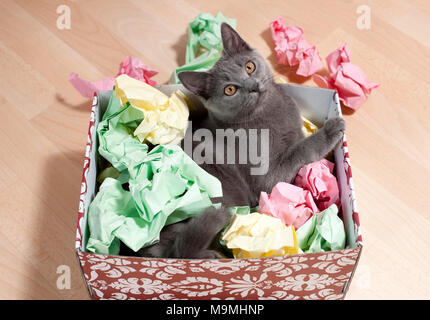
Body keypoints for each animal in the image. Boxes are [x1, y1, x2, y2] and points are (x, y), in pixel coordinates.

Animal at [132, 23, 346, 260]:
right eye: (230, 89)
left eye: (249, 67)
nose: (253, 85)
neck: (265, 114)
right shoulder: (267, 178)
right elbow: (301, 149)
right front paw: (332, 129)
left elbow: (299, 143)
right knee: (180, 251)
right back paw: (211, 256)